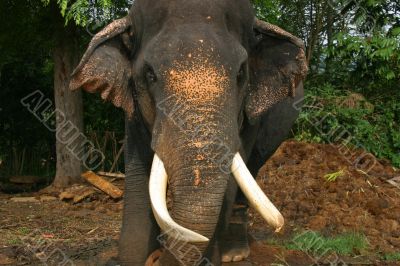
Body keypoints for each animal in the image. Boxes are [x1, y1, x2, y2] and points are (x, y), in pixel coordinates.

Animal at [69, 0, 306, 264]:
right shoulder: (132, 109)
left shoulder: (249, 115)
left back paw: (234, 253)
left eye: (241, 74)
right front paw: (135, 256)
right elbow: (139, 173)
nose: (156, 257)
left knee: (251, 173)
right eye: (150, 74)